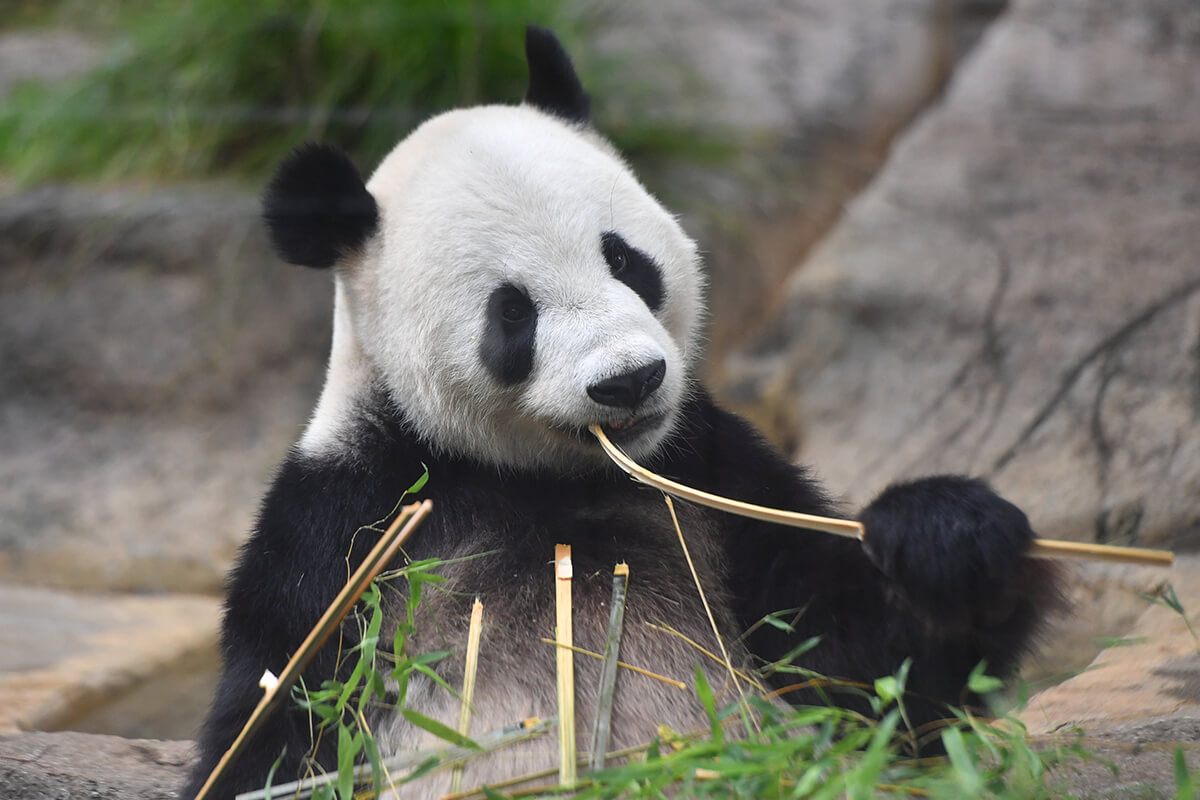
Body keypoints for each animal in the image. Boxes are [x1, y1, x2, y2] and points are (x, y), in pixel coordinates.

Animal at [184, 26, 1060, 800]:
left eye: (624, 259)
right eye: (512, 313)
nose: (630, 382)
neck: (538, 473)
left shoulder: (705, 470)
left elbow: (861, 663)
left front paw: (948, 536)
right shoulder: (352, 524)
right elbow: (281, 717)